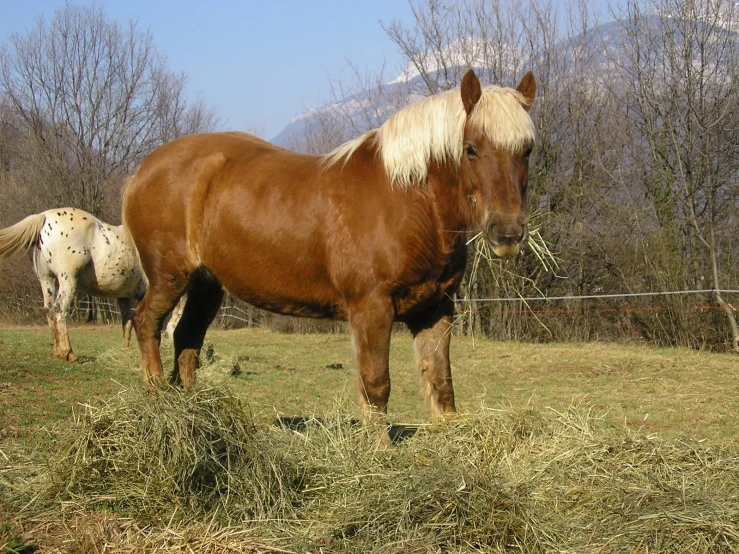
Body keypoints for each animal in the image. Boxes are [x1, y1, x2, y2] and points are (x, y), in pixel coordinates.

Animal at [0, 206, 146, 358]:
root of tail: (44, 216)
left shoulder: (124, 297)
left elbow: (127, 324)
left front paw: (125, 350)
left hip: (46, 279)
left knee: (49, 311)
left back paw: (58, 351)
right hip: (68, 280)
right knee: (59, 310)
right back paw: (68, 353)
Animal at [121, 71, 536, 420]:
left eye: (527, 150)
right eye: (471, 148)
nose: (507, 233)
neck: (408, 201)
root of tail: (142, 171)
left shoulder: (435, 309)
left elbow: (441, 385)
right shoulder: (371, 309)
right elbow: (376, 386)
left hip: (206, 284)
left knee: (186, 339)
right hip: (169, 278)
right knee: (145, 323)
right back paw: (158, 400)